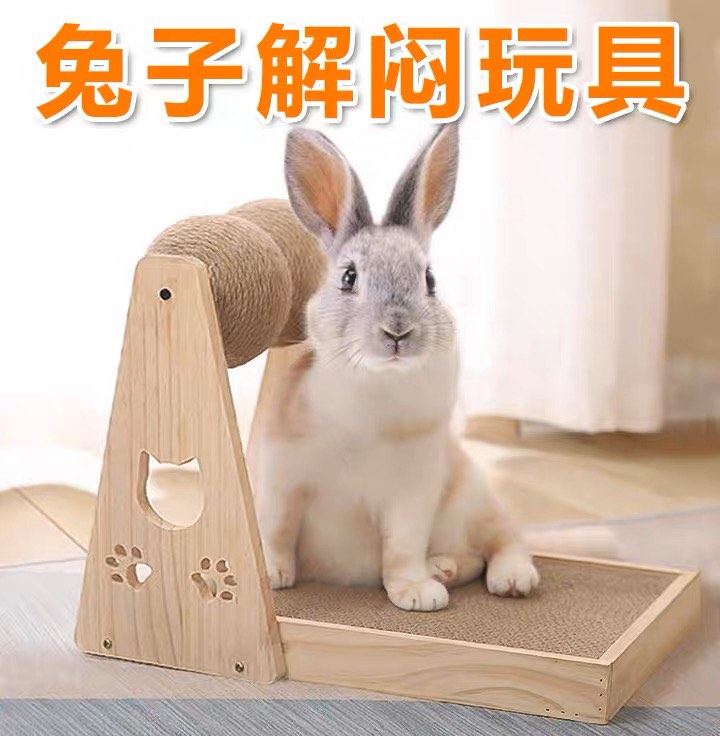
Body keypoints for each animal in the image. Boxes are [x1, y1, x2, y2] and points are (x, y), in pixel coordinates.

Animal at [251, 124, 539, 612]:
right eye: (348, 277)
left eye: (430, 280)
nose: (398, 331)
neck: (376, 381)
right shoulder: (281, 478)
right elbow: (276, 531)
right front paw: (271, 576)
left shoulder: (412, 493)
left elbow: (402, 548)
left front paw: (418, 594)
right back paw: (444, 567)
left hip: (476, 497)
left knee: (503, 541)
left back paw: (509, 580)